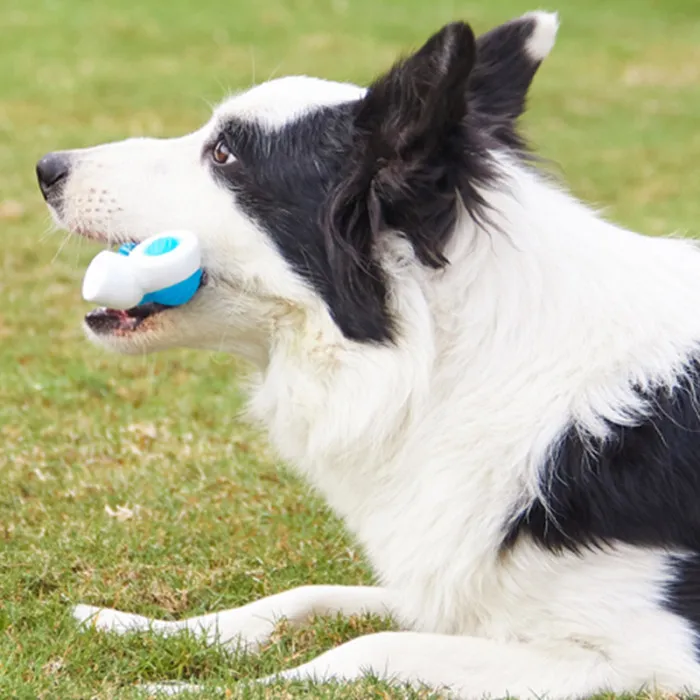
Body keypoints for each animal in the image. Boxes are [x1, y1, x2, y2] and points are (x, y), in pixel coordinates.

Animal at [36, 11, 700, 698]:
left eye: (224, 154)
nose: (46, 168)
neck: (441, 362)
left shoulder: (648, 659)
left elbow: (364, 646)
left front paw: (179, 687)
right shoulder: (450, 590)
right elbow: (300, 596)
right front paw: (143, 626)